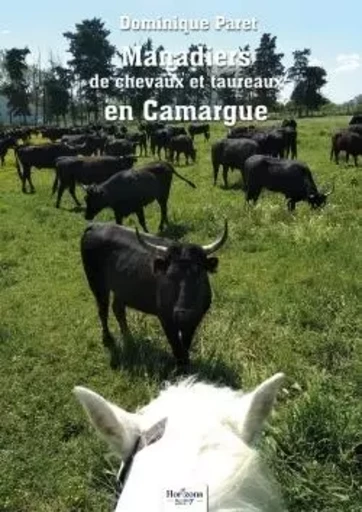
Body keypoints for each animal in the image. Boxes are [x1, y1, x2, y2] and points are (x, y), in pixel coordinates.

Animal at [80, 220, 228, 368]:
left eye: (199, 274)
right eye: (170, 276)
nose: (183, 313)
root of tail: (96, 225)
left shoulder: (195, 319)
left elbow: (185, 344)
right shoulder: (166, 318)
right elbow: (176, 346)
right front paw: (180, 368)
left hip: (121, 288)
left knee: (118, 309)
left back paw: (128, 337)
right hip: (97, 284)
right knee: (103, 310)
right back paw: (107, 339)